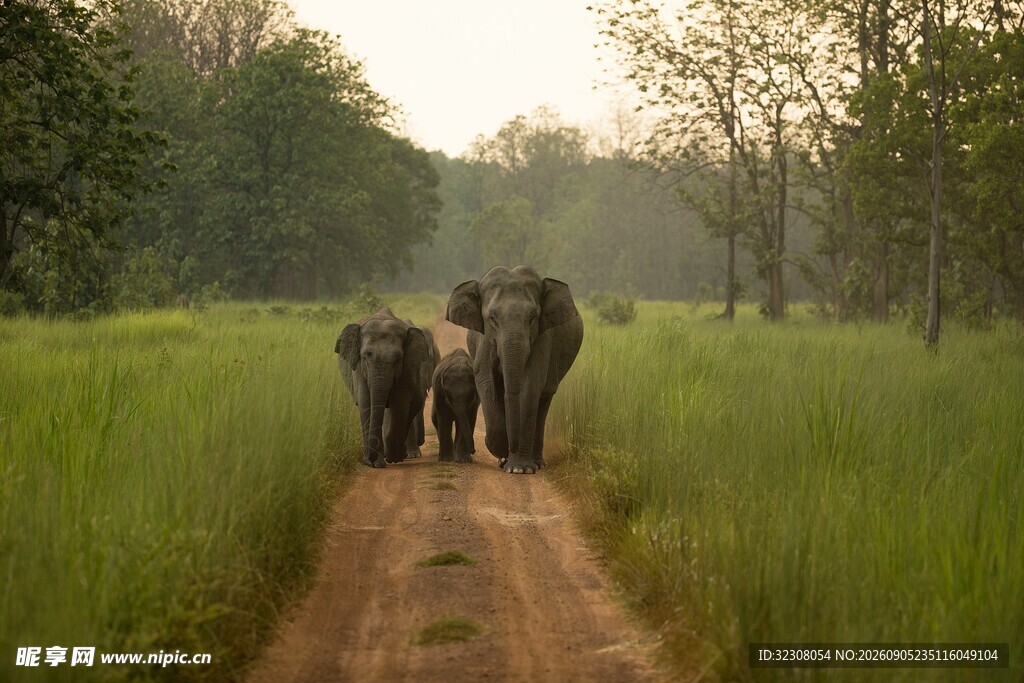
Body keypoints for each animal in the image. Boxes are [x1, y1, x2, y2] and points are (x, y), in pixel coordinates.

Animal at [335, 308, 431, 468]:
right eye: (365, 357)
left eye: (397, 359)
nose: (369, 460)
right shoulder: (359, 369)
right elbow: (366, 404)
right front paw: (375, 463)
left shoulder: (406, 367)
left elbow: (400, 403)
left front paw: (394, 458)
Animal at [446, 265, 583, 474]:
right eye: (492, 318)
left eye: (533, 317)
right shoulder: (485, 337)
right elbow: (485, 379)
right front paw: (502, 452)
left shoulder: (543, 337)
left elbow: (530, 385)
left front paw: (520, 469)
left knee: (543, 400)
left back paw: (537, 463)